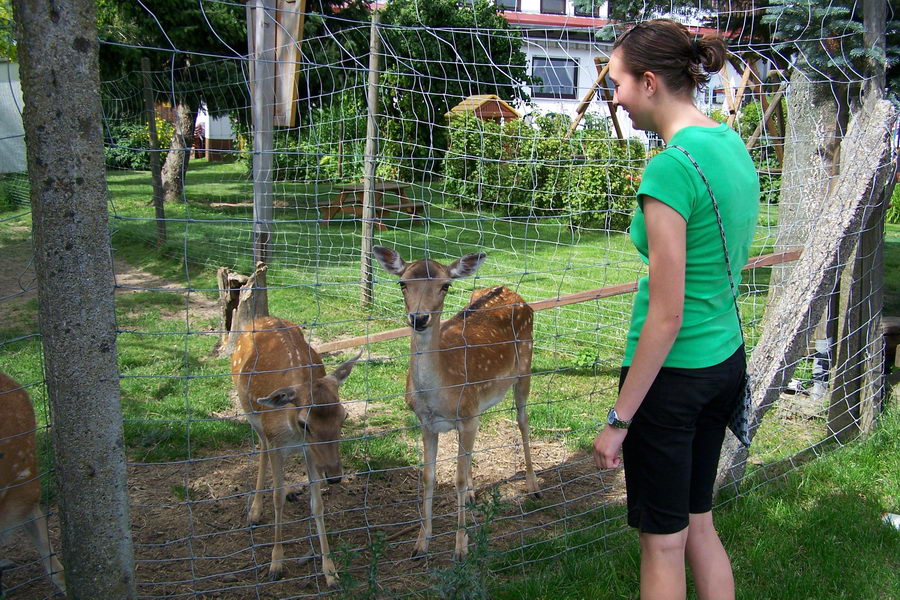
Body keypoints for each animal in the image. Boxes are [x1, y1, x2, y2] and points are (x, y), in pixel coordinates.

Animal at [232, 318, 358, 584]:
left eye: (344, 416)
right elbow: (278, 498)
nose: (335, 477)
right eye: (304, 423)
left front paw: (330, 571)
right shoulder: (276, 442)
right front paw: (275, 564)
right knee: (261, 446)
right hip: (250, 412)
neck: (291, 431)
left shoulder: (310, 452)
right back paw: (254, 511)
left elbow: (317, 504)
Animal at [374, 246, 540, 560]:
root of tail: (511, 292)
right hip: (479, 405)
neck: (440, 393)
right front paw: (420, 543)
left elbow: (458, 480)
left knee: (523, 421)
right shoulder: (428, 422)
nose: (419, 318)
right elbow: (428, 477)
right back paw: (476, 494)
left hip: (525, 369)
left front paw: (461, 549)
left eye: (445, 286)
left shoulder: (466, 416)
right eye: (402, 283)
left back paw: (533, 486)